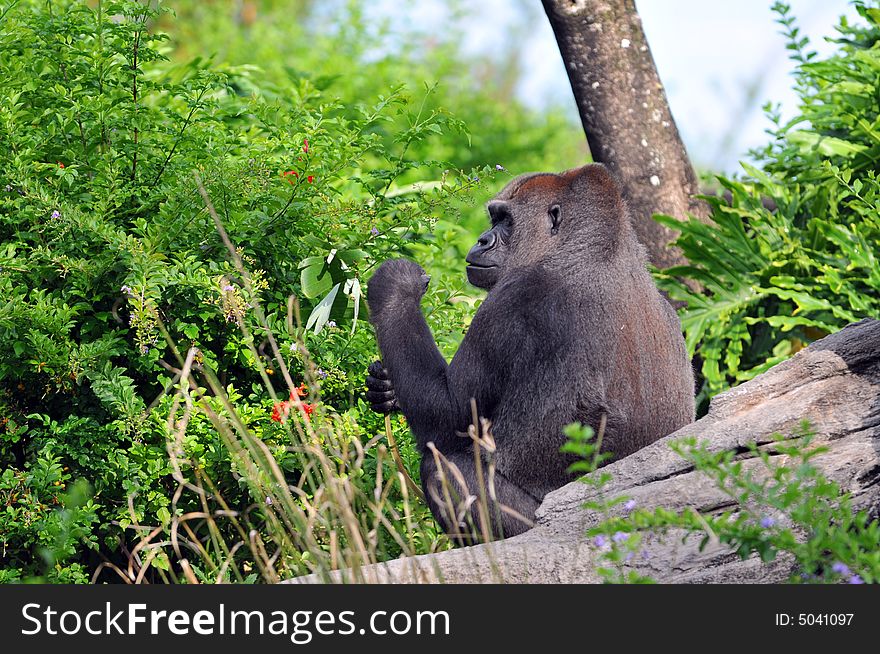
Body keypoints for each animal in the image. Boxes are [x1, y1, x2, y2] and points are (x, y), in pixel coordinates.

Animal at [364, 165, 696, 544]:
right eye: (494, 219)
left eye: (505, 221)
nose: (482, 239)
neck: (594, 246)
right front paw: (385, 389)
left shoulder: (513, 298)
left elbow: (447, 415)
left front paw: (396, 286)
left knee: (444, 467)